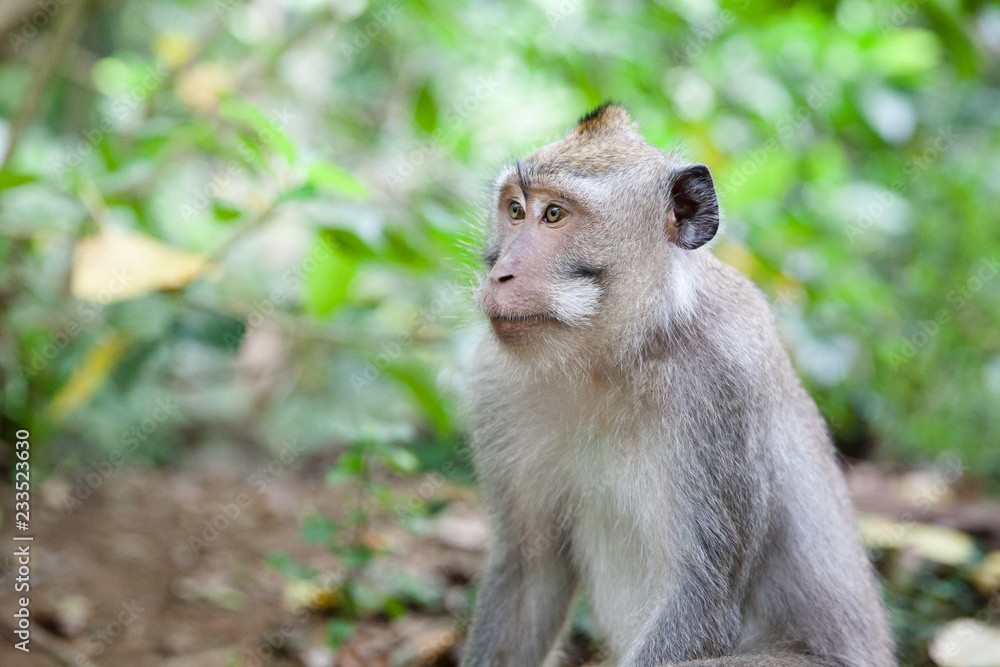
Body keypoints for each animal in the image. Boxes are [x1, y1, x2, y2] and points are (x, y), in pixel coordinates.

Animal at [459, 103, 896, 667]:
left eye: (554, 215)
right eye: (515, 210)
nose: (502, 275)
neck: (612, 359)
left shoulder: (721, 386)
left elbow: (700, 604)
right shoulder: (497, 380)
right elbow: (529, 572)